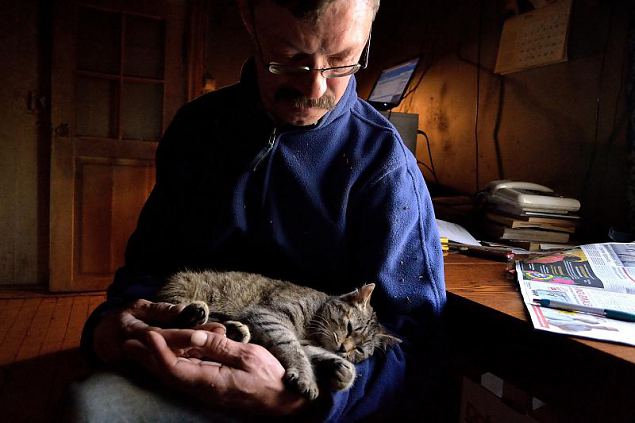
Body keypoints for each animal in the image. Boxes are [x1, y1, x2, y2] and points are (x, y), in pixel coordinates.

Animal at [155, 272, 400, 400]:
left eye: (359, 349)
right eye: (349, 327)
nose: (343, 349)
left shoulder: (304, 341)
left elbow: (311, 352)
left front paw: (342, 370)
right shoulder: (270, 317)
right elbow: (294, 349)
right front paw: (306, 377)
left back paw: (236, 331)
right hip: (181, 292)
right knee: (176, 319)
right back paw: (197, 314)